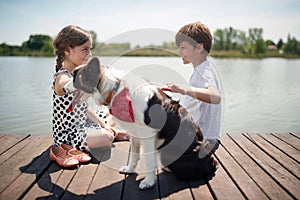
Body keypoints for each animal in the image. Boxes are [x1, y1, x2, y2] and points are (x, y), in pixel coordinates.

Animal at [69, 56, 217, 189]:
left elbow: (149, 159)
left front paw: (149, 181)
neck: (115, 89)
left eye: (75, 77)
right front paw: (130, 169)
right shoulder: (134, 132)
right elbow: (134, 154)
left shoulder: (147, 133)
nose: (63, 87)